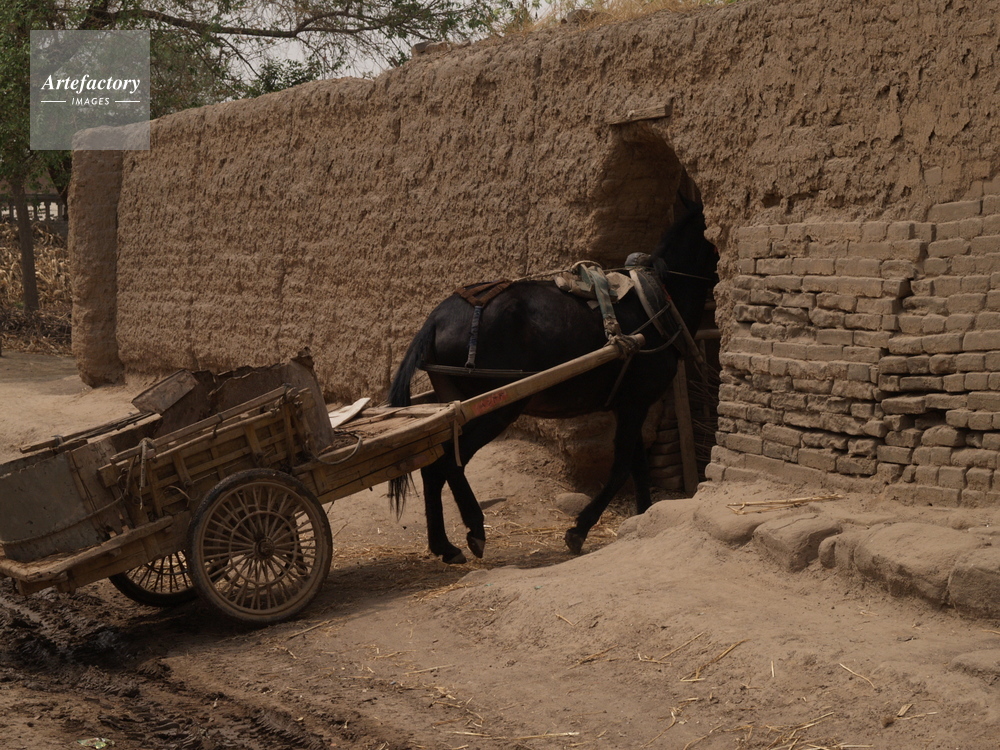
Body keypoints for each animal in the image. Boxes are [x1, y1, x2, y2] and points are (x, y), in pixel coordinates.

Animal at [388, 196, 719, 564]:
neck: (658, 299)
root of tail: (436, 318)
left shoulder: (630, 404)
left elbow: (638, 465)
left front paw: (643, 518)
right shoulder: (635, 403)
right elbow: (621, 467)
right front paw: (579, 530)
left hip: (454, 406)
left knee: (433, 467)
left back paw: (445, 546)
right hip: (496, 408)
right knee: (449, 463)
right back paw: (474, 529)